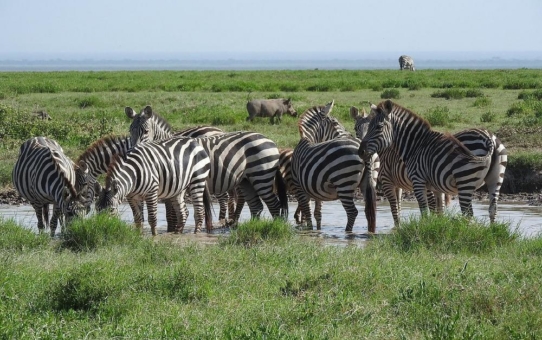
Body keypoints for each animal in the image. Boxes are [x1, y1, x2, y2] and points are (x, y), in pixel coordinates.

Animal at [294, 101, 378, 232]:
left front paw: (310, 231)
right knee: (369, 211)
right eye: (335, 123)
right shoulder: (316, 191)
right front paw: (318, 232)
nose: (349, 134)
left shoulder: (299, 187)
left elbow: (308, 213)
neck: (308, 139)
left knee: (352, 212)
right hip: (369, 182)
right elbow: (317, 214)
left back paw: (347, 232)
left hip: (344, 183)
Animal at [354, 105, 508, 224]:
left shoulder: (400, 181)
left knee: (468, 213)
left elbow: (405, 209)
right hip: (496, 179)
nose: (361, 151)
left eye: (378, 127)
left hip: (465, 180)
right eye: (356, 129)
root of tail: (489, 138)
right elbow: (436, 209)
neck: (415, 145)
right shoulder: (433, 186)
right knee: (492, 209)